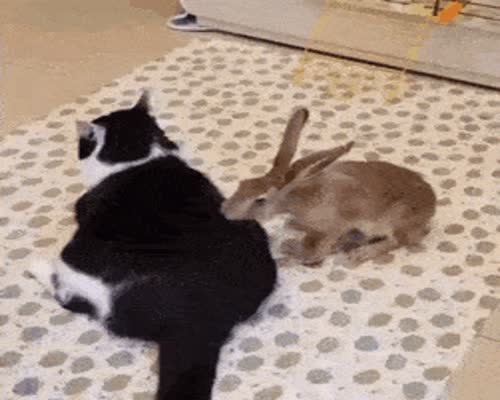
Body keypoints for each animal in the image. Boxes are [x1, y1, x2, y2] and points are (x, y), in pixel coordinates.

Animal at [29, 92, 280, 398]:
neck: (139, 158)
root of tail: (200, 316)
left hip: (79, 261)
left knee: (70, 296)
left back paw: (35, 264)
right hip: (251, 227)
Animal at [223, 108, 438, 268]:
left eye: (260, 199)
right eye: (242, 183)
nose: (225, 211)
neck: (294, 198)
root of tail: (432, 204)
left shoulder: (336, 227)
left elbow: (318, 249)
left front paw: (294, 252)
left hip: (393, 220)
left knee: (398, 240)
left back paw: (360, 254)